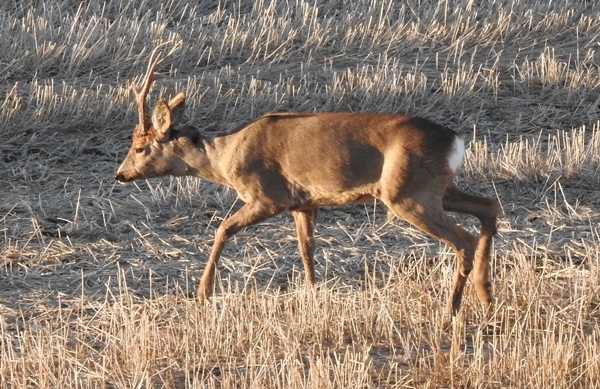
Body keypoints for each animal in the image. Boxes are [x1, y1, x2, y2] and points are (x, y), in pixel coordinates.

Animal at [115, 48, 500, 316]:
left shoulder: (268, 195)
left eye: (139, 146)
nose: (120, 174)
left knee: (463, 239)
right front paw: (313, 291)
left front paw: (202, 293)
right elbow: (306, 248)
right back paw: (485, 294)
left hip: (408, 192)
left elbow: (223, 229)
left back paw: (452, 308)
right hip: (437, 189)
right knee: (488, 207)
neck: (224, 157)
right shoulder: (304, 203)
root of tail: (455, 141)